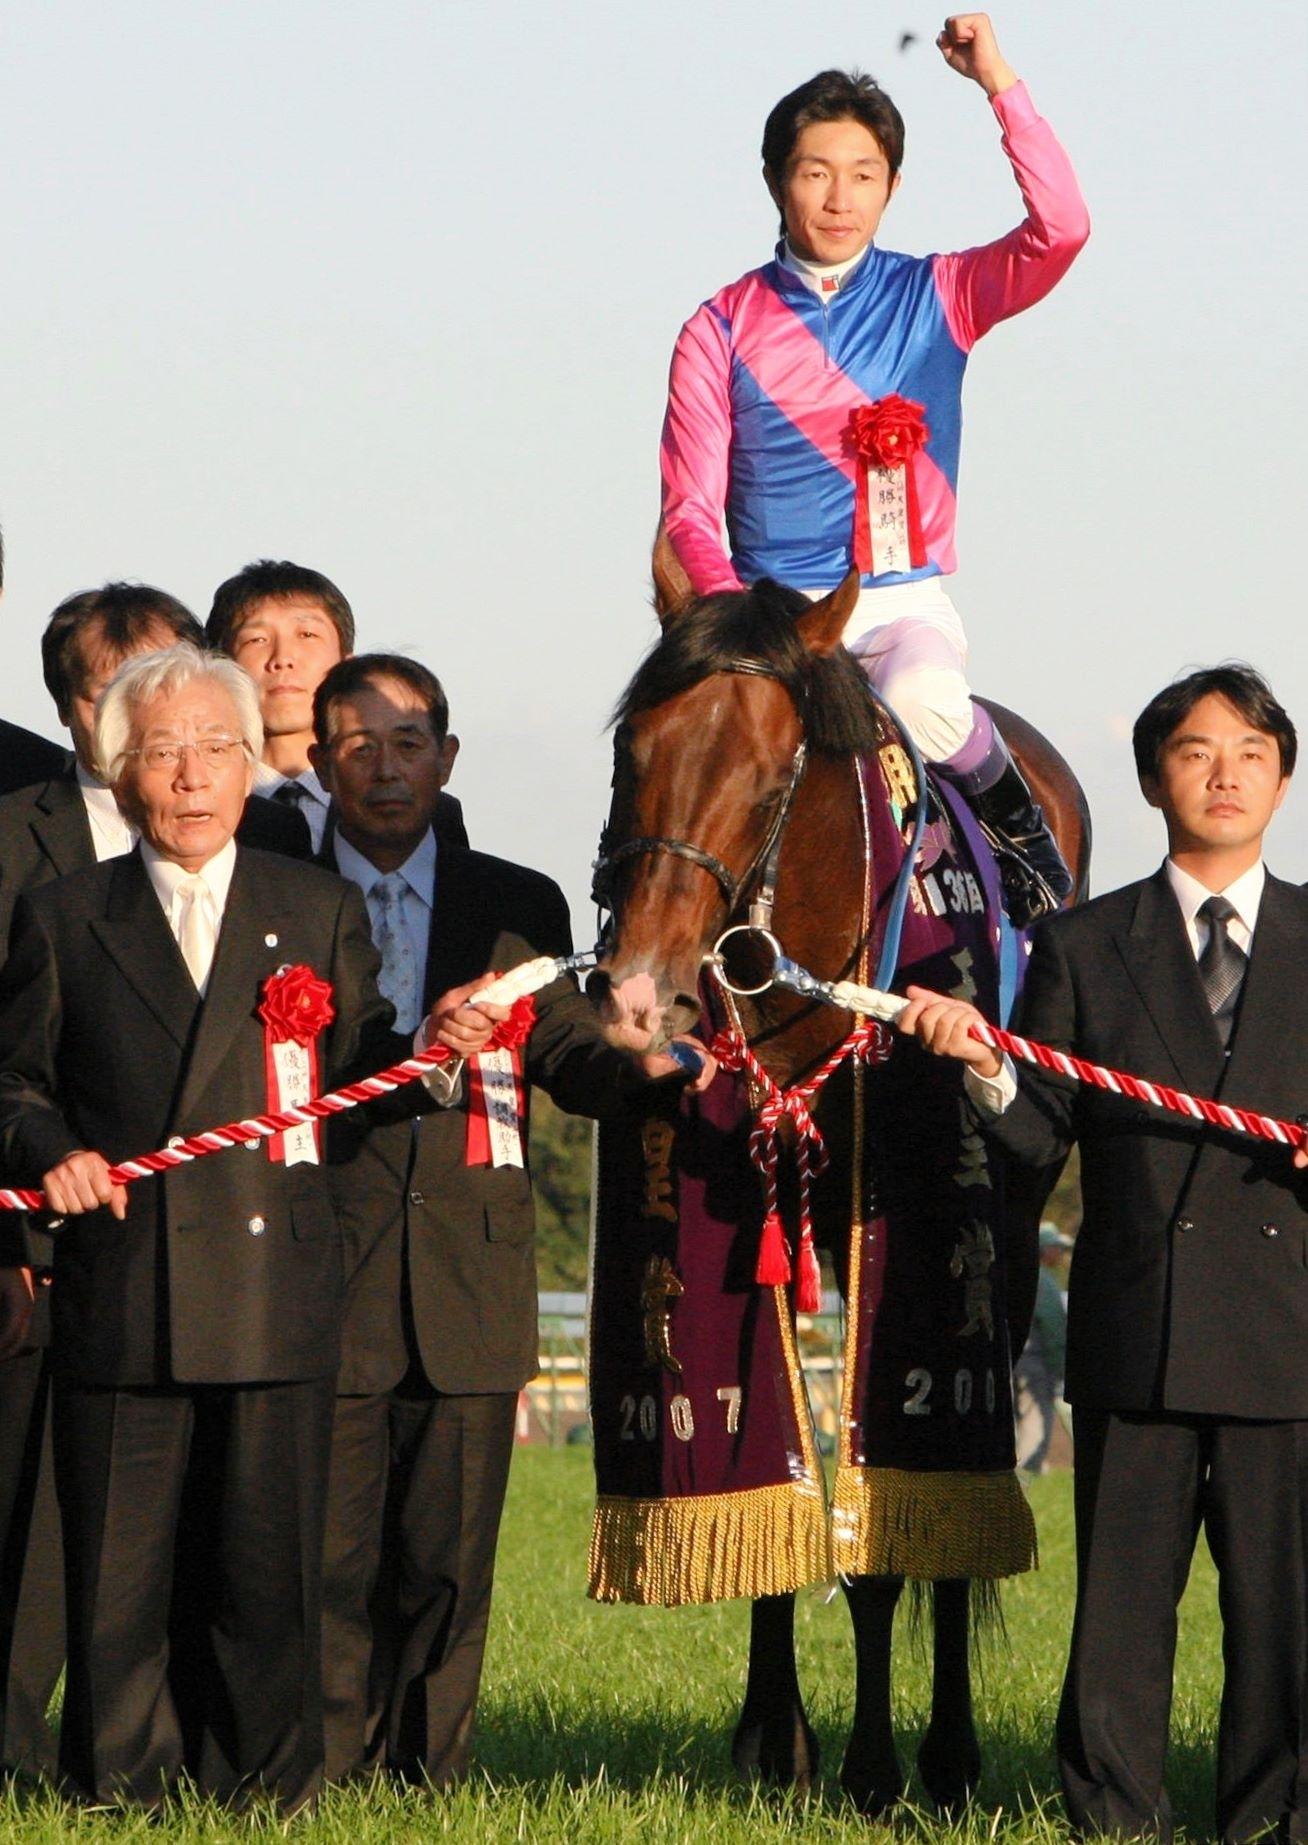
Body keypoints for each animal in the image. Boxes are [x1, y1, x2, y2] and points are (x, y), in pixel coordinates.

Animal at [586, 560, 1084, 1815]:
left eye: (771, 778)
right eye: (630, 750)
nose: (640, 991)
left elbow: (882, 1516)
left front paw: (880, 1765)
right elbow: (775, 1457)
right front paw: (778, 1740)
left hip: (1001, 1238)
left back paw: (948, 1751)